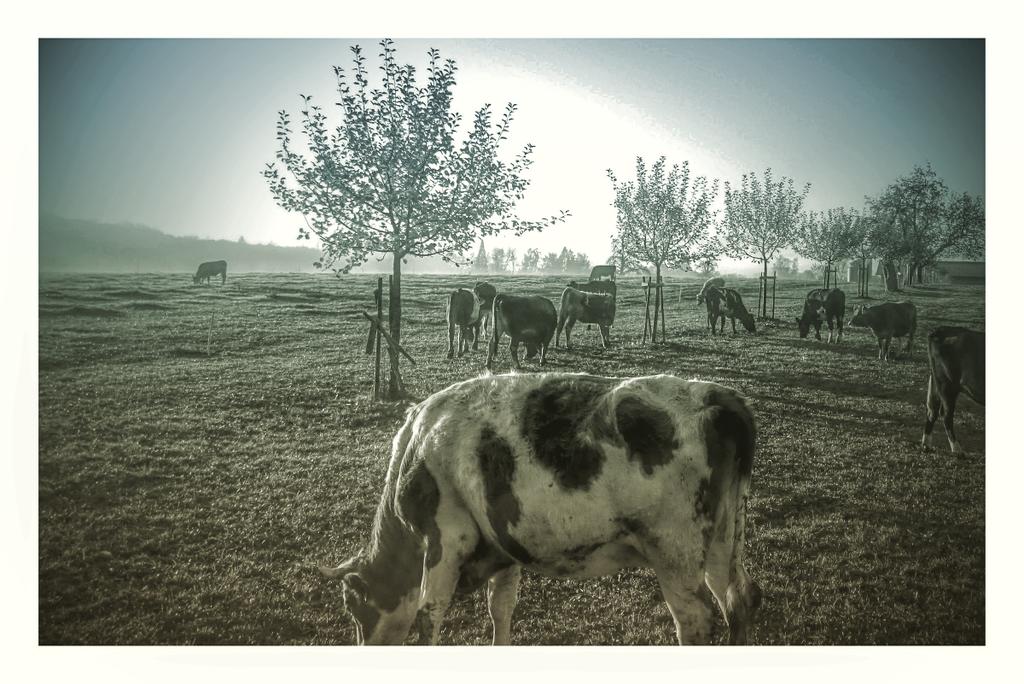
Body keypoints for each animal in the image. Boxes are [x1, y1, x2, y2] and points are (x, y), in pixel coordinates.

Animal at [319, 372, 762, 646]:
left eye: (354, 607)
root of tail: (724, 401)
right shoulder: (503, 539)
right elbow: (501, 607)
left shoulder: (446, 537)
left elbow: (429, 615)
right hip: (725, 536)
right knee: (738, 598)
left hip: (676, 552)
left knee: (695, 619)